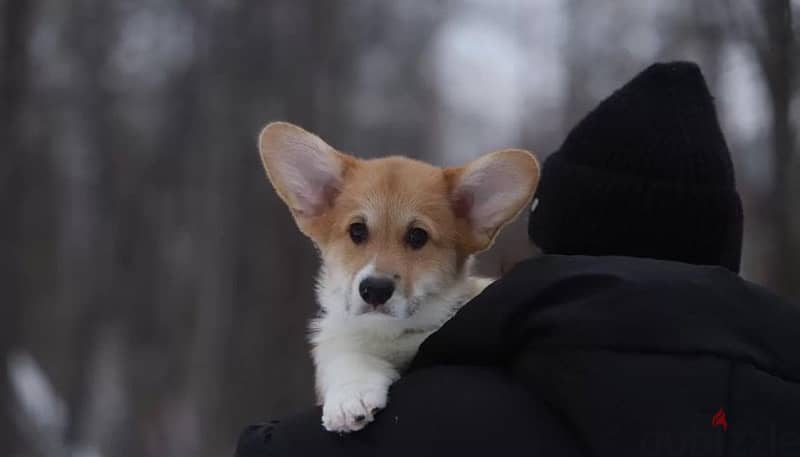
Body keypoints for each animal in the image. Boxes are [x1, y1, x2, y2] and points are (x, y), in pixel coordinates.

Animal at [260, 120, 540, 432]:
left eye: (417, 236)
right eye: (357, 231)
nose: (374, 290)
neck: (392, 334)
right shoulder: (341, 342)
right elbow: (349, 358)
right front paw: (350, 397)